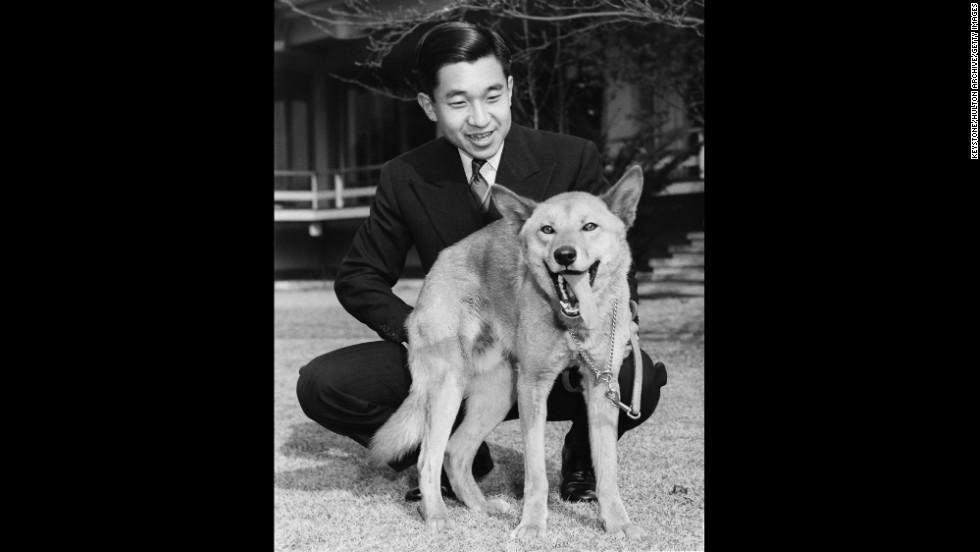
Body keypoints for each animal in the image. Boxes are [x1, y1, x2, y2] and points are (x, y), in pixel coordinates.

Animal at [372, 164, 648, 540]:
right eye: (548, 230)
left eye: (590, 226)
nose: (564, 255)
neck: (571, 324)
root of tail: (437, 267)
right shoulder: (533, 387)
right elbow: (536, 473)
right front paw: (532, 524)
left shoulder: (602, 387)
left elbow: (607, 469)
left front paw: (617, 522)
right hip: (449, 388)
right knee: (428, 457)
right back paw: (437, 515)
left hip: (499, 394)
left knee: (455, 453)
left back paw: (481, 507)